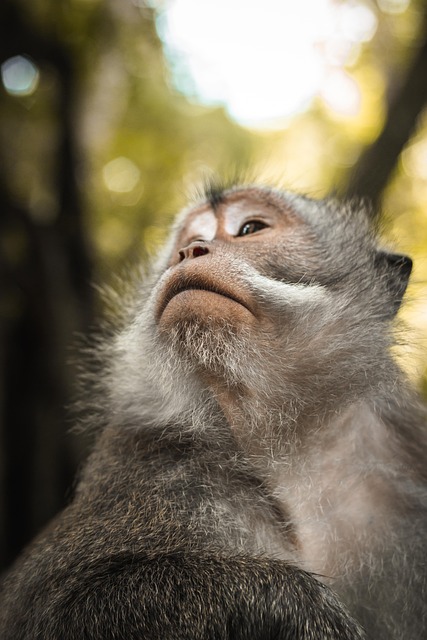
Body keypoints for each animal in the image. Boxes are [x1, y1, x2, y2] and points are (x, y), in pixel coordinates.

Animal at [0, 182, 427, 636]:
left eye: (250, 228)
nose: (190, 251)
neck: (286, 445)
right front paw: (298, 603)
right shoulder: (142, 462)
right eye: (189, 240)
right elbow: (58, 610)